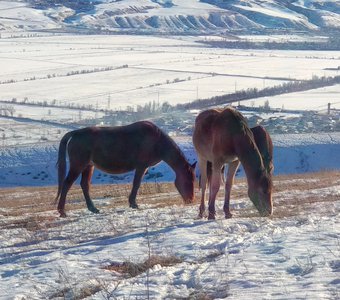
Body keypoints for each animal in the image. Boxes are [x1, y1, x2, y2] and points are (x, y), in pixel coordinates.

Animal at [55, 120, 197, 217]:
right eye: (188, 181)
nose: (190, 200)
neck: (157, 141)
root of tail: (75, 133)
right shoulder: (141, 167)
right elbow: (136, 184)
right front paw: (133, 203)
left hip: (88, 166)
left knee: (85, 185)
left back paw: (93, 208)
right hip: (78, 165)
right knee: (67, 184)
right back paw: (62, 211)